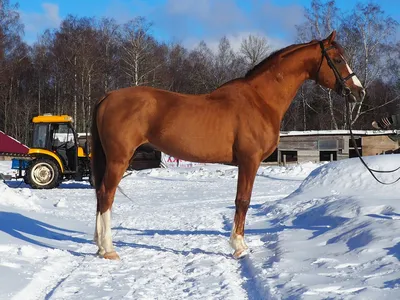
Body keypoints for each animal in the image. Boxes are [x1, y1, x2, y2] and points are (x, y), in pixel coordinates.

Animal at [90, 31, 366, 258]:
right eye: (337, 60)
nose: (359, 91)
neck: (261, 100)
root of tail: (108, 97)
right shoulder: (249, 161)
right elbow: (243, 200)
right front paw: (239, 247)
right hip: (118, 159)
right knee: (106, 195)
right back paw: (108, 249)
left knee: (101, 195)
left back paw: (100, 245)